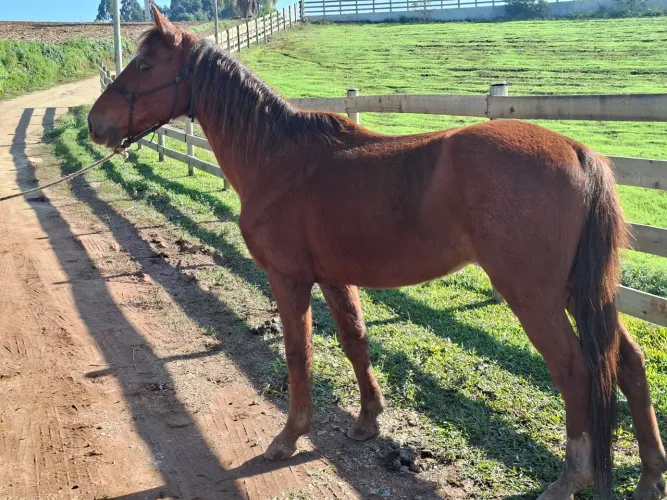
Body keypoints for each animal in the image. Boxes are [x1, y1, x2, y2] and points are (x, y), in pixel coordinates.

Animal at [87, 6, 666, 499]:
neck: (278, 158)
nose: (96, 123)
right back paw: (651, 476)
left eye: (144, 64)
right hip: (583, 291)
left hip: (535, 297)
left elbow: (299, 352)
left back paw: (571, 478)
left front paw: (290, 436)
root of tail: (577, 149)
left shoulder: (288, 278)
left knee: (575, 370)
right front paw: (368, 421)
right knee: (628, 362)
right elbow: (355, 341)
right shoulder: (334, 276)